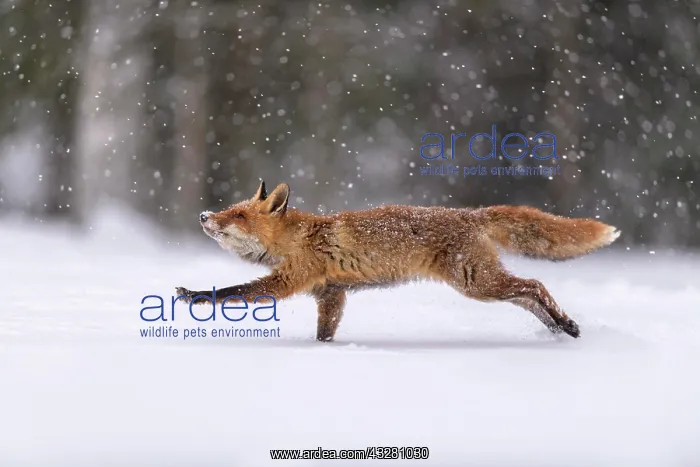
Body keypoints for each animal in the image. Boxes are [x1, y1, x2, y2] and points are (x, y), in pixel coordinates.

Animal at [176, 181, 621, 341]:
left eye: (237, 215)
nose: (203, 216)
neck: (297, 238)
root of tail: (470, 214)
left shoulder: (289, 280)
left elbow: (232, 292)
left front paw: (193, 295)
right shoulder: (331, 294)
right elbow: (325, 332)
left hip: (475, 283)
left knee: (535, 285)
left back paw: (565, 324)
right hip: (483, 283)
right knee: (527, 295)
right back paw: (558, 327)